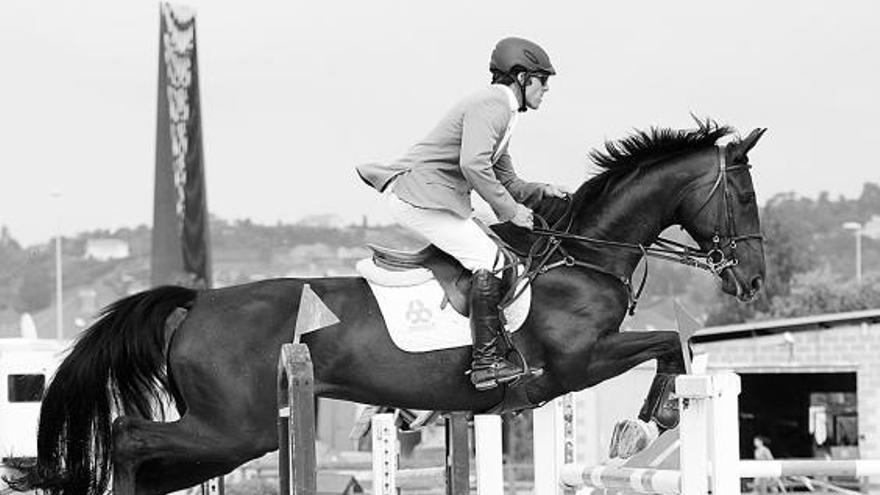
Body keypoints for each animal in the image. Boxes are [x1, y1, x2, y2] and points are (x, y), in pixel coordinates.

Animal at [17, 120, 768, 495]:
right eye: (744, 195)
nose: (754, 279)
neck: (582, 253)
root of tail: (194, 304)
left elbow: (672, 343)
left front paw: (649, 420)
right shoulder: (577, 362)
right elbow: (670, 340)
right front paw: (648, 424)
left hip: (234, 436)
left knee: (150, 460)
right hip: (236, 428)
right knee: (126, 437)